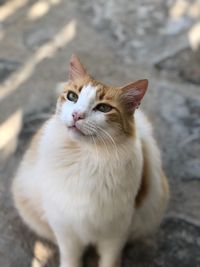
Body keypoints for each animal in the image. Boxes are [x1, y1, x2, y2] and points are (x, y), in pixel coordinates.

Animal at [12, 55, 169, 267]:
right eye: (72, 97)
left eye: (103, 108)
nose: (76, 115)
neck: (85, 156)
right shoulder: (65, 227)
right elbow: (71, 258)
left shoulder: (116, 231)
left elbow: (109, 260)